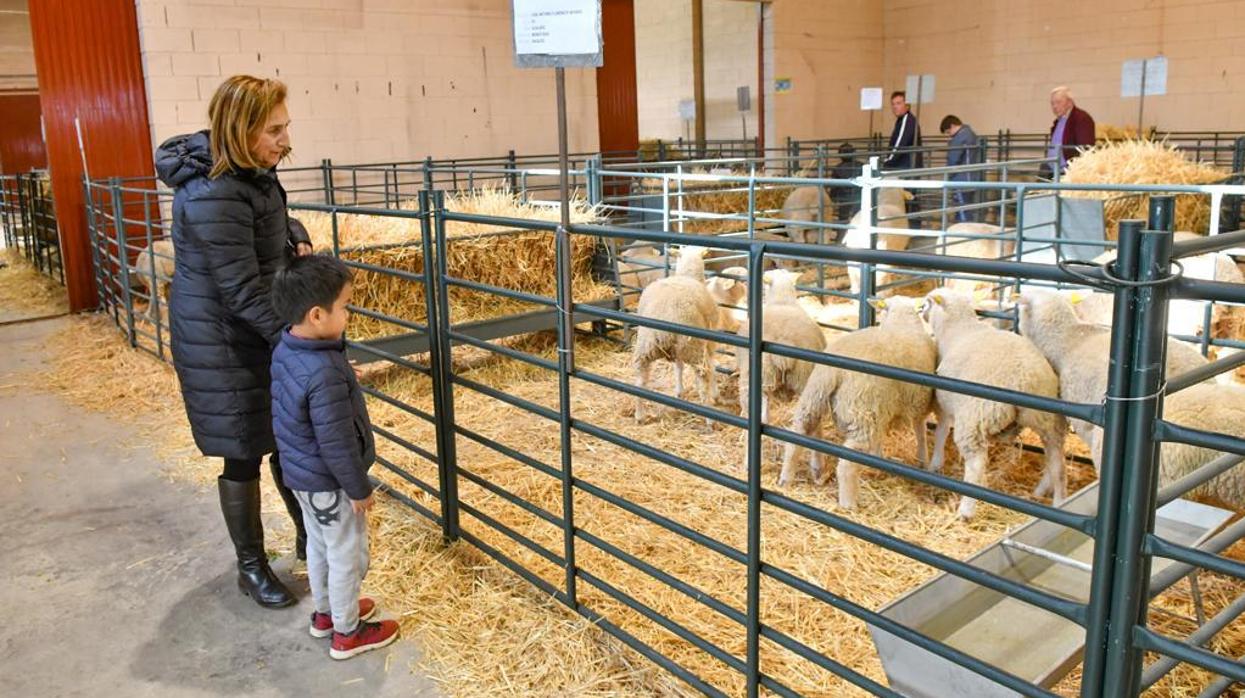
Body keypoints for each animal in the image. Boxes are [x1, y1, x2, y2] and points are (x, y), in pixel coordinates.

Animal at [632, 247, 722, 423]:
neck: (688, 274)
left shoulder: (678, 351)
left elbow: (678, 368)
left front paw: (679, 392)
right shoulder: (710, 340)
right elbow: (713, 365)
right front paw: (715, 394)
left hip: (646, 349)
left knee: (639, 383)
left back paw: (639, 416)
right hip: (693, 348)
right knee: (703, 380)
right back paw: (710, 419)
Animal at [776, 296, 936, 502]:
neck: (902, 322)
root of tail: (834, 371)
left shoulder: (883, 409)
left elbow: (880, 439)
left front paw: (877, 462)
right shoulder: (918, 403)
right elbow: (920, 431)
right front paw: (923, 460)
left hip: (813, 396)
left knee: (795, 437)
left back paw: (786, 480)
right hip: (863, 411)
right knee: (846, 465)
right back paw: (848, 503)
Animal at [921, 288, 1065, 517]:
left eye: (927, 303)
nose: (920, 310)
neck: (957, 327)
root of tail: (1024, 379)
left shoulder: (945, 404)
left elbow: (941, 432)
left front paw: (935, 464)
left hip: (974, 418)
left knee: (976, 464)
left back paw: (966, 510)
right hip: (1047, 419)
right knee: (1056, 460)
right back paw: (1057, 501)